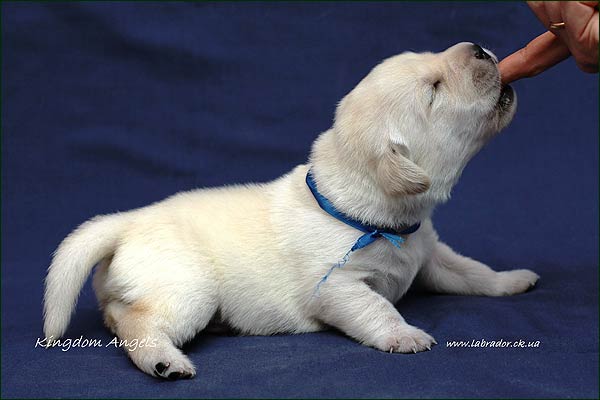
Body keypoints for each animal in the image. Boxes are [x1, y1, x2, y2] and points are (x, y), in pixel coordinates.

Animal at [43, 42, 540, 380]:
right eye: (433, 90)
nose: (476, 47)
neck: (370, 215)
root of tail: (126, 222)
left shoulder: (430, 253)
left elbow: (472, 272)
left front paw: (512, 280)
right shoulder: (336, 285)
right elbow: (376, 307)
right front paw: (404, 335)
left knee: (116, 313)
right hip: (189, 287)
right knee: (138, 321)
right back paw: (166, 361)